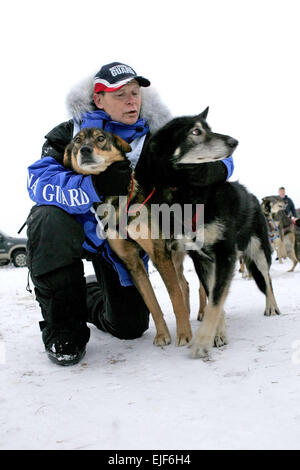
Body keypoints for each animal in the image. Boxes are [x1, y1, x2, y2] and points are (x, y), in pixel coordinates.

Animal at [135, 108, 280, 358]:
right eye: (195, 131)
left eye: (209, 128)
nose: (234, 142)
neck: (188, 194)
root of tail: (253, 197)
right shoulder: (201, 258)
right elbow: (214, 297)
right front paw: (217, 334)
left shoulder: (225, 254)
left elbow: (215, 301)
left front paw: (202, 341)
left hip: (259, 250)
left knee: (267, 278)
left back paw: (271, 305)